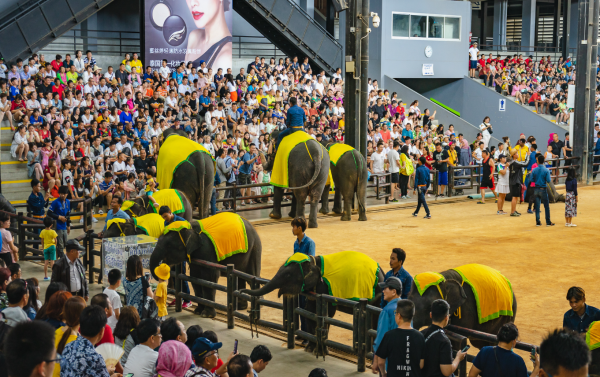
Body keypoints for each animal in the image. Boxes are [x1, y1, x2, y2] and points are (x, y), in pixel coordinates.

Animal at [240, 251, 384, 354]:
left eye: (288, 275)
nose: (241, 291)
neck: (313, 260)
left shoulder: (325, 289)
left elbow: (327, 315)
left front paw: (320, 352)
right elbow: (309, 312)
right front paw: (309, 349)